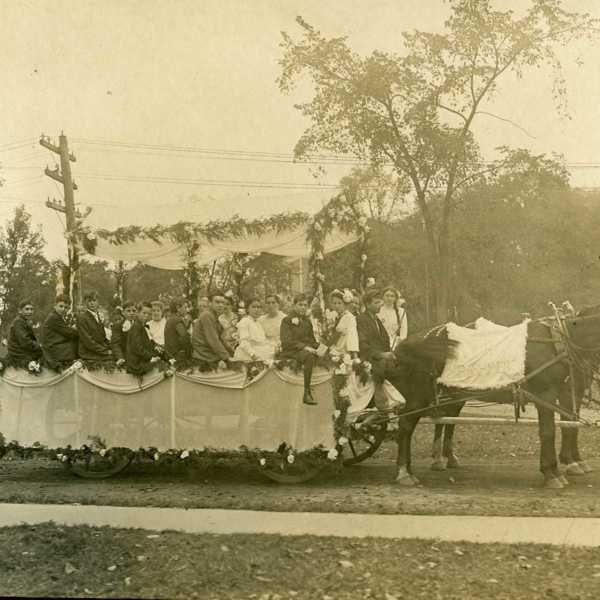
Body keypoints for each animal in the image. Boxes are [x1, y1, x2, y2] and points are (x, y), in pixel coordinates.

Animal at [394, 308, 600, 490]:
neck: (559, 343)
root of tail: (411, 340)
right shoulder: (547, 394)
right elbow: (550, 432)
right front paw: (553, 473)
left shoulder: (568, 392)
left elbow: (568, 427)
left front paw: (568, 465)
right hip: (420, 395)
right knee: (406, 424)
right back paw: (405, 472)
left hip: (450, 394)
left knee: (441, 420)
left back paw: (434, 462)